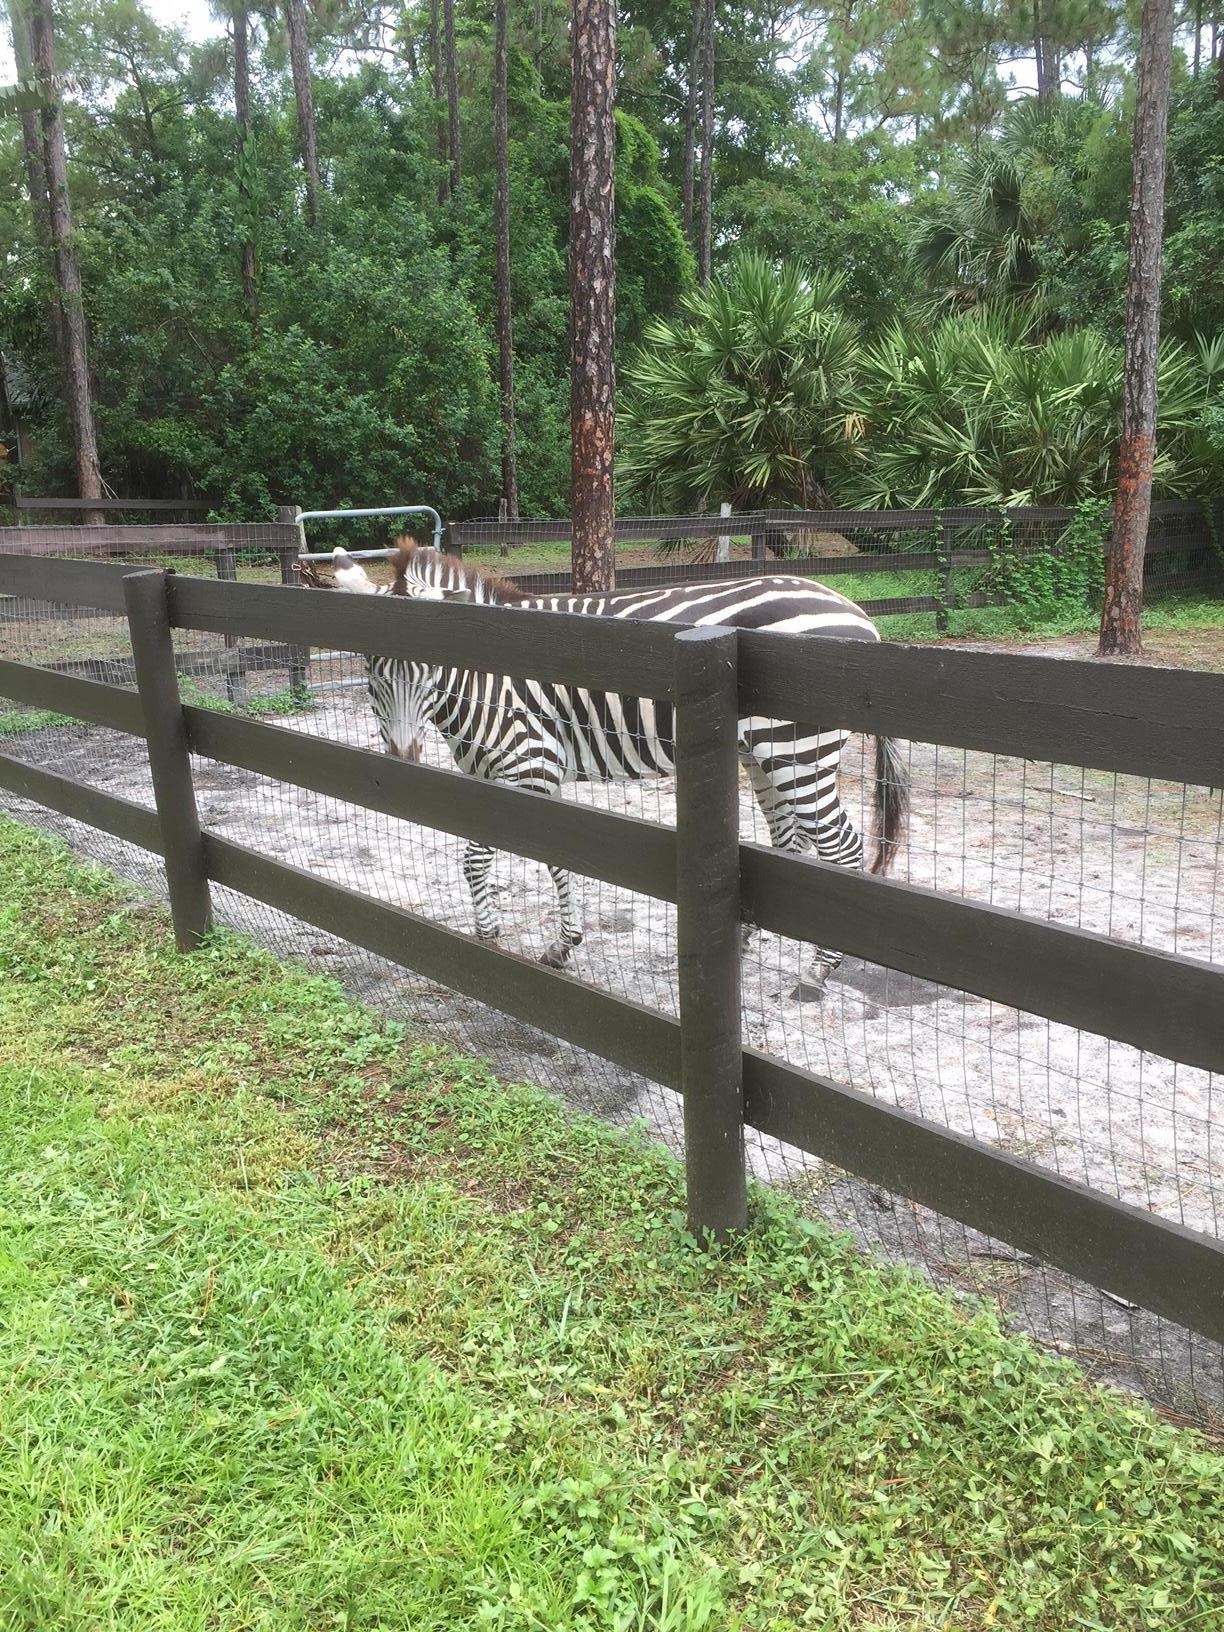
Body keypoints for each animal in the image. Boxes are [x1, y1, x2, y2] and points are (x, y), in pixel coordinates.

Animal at [313, 542, 908, 981]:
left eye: (431, 670)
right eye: (371, 673)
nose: (403, 760)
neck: (485, 680)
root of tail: (857, 614)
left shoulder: (528, 766)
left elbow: (478, 858)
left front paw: (488, 937)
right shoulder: (521, 774)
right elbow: (553, 855)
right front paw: (562, 945)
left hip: (796, 753)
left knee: (843, 848)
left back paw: (819, 970)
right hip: (761, 756)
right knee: (791, 841)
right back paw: (746, 945)